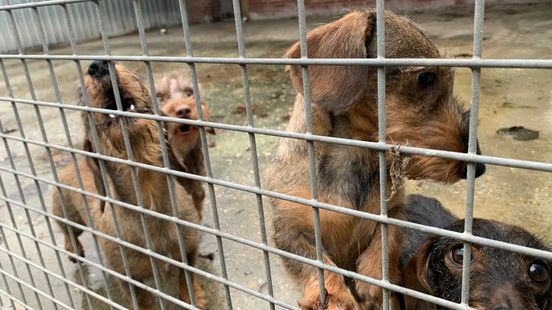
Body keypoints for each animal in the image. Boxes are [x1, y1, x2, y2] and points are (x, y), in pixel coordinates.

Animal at [51, 61, 207, 308]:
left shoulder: (189, 249)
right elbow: (143, 301)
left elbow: (186, 276)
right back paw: (73, 249)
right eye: (80, 94)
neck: (148, 196)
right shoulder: (130, 278)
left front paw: (193, 298)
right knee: (69, 233)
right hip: (67, 213)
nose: (97, 65)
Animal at [268, 10, 488, 310]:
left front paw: (373, 279)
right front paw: (335, 295)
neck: (353, 154)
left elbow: (388, 237)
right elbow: (314, 262)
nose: (480, 167)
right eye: (427, 77)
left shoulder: (394, 210)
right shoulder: (288, 230)